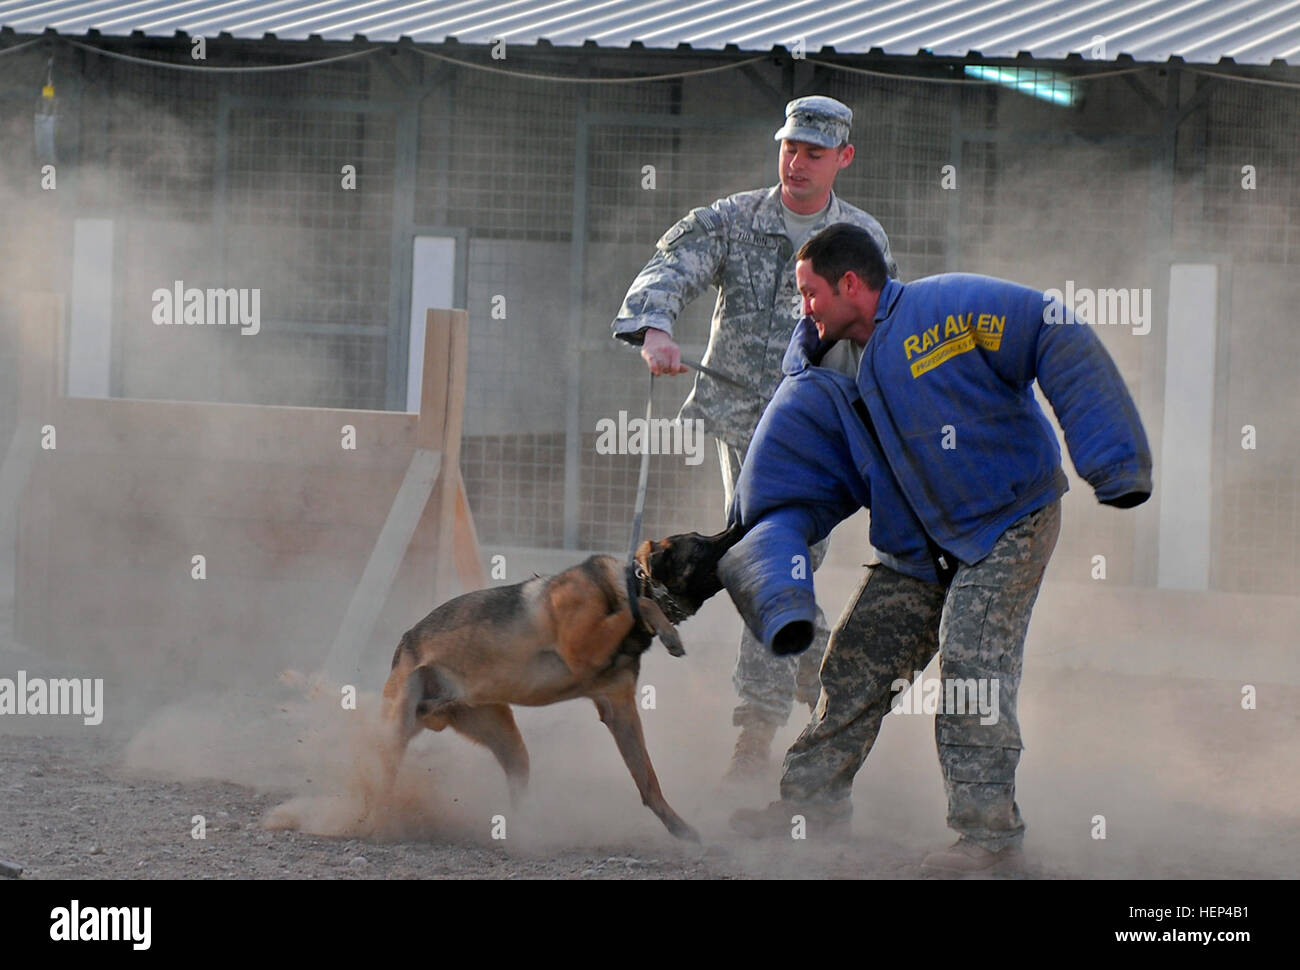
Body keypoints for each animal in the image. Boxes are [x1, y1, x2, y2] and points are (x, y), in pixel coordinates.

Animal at [374, 522, 743, 837]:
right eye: (698, 545)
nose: (739, 525)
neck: (632, 582)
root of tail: (404, 641)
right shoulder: (583, 643)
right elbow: (640, 604)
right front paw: (668, 633)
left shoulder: (620, 710)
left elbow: (648, 778)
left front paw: (677, 825)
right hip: (397, 727)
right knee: (384, 774)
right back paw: (380, 819)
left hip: (506, 741)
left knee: (517, 777)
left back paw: (528, 833)